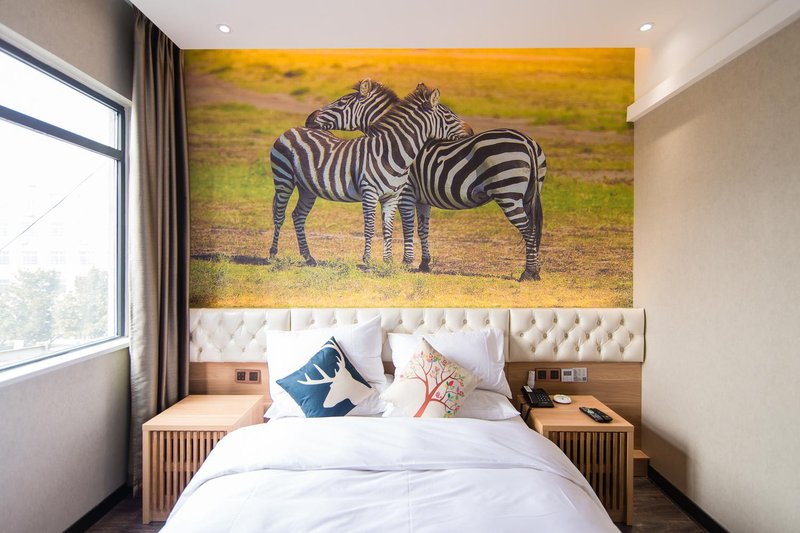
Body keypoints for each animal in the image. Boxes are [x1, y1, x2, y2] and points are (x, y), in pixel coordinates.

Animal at [270, 85, 472, 266]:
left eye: (342, 102)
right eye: (449, 115)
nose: (470, 131)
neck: (391, 152)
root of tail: (291, 129)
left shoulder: (393, 196)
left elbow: (388, 229)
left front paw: (388, 261)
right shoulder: (371, 193)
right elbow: (371, 227)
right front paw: (368, 260)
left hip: (307, 188)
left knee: (298, 215)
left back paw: (309, 257)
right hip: (284, 179)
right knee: (279, 214)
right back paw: (272, 254)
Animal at [305, 79, 547, 281]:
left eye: (340, 102)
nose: (309, 118)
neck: (393, 144)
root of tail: (526, 141)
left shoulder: (405, 193)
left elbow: (407, 227)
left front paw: (405, 262)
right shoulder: (422, 199)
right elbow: (423, 229)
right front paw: (424, 264)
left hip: (508, 193)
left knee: (527, 229)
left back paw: (529, 273)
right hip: (528, 195)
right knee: (533, 229)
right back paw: (534, 269)